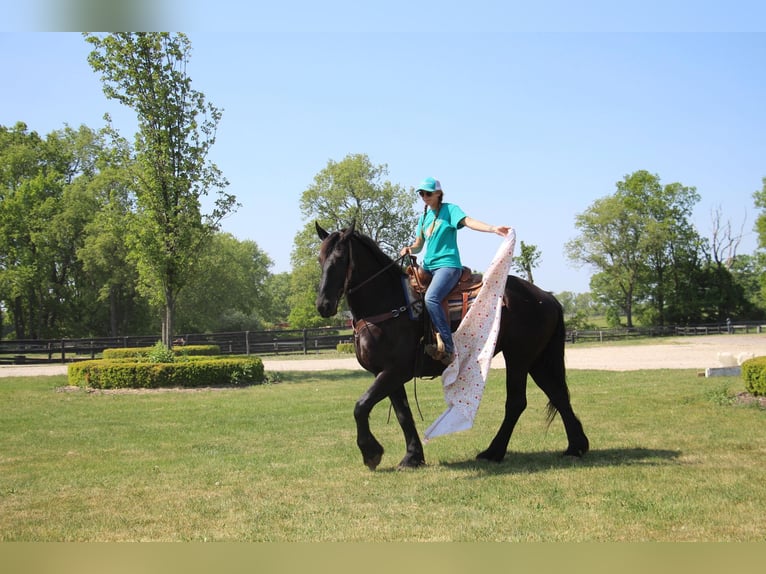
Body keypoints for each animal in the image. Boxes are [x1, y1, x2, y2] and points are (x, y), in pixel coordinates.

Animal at [316, 223, 592, 470]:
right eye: (320, 258)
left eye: (340, 258)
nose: (323, 305)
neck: (389, 305)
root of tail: (545, 296)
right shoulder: (385, 373)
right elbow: (403, 414)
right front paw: (413, 457)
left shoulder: (395, 371)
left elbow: (361, 406)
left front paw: (371, 453)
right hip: (537, 359)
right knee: (558, 395)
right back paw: (576, 447)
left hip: (519, 358)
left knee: (517, 402)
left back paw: (494, 451)